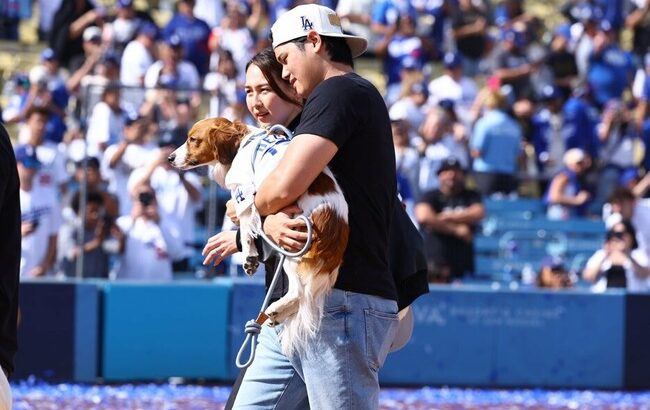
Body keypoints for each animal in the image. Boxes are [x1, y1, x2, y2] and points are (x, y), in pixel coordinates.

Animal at [170, 117, 346, 354]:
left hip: (294, 251)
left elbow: (246, 229)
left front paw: (249, 257)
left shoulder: (245, 194)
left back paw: (276, 308)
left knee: (299, 292)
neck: (240, 144)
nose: (169, 158)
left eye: (193, 139)